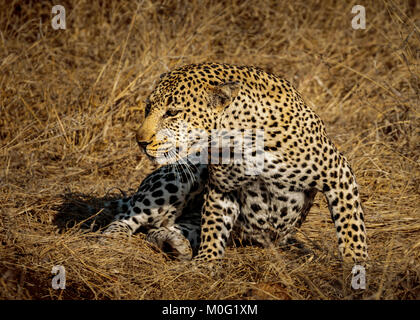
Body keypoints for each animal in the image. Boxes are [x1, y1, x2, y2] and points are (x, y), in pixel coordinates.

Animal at [104, 62, 368, 262]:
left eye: (172, 112)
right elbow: (213, 227)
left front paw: (355, 264)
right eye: (148, 107)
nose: (140, 141)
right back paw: (111, 241)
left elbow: (351, 225)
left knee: (162, 228)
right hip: (179, 176)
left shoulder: (338, 172)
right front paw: (206, 264)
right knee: (128, 214)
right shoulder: (222, 187)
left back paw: (175, 243)